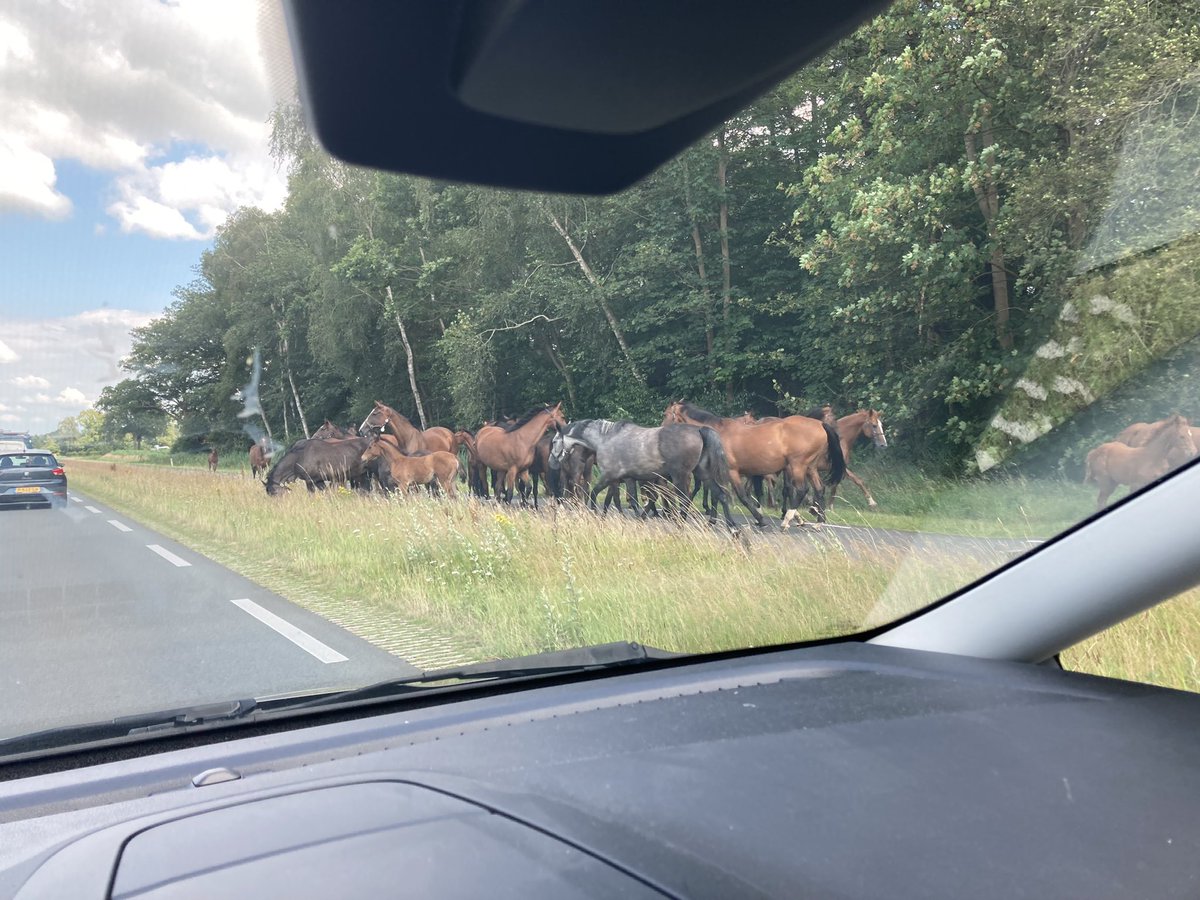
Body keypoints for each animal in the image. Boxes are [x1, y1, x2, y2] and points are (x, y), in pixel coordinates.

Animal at [551, 419, 739, 529]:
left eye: (554, 441)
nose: (552, 461)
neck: (606, 439)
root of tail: (699, 430)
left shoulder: (610, 477)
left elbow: (595, 494)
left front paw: (595, 515)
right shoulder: (625, 478)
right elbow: (629, 500)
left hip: (680, 476)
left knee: (685, 500)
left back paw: (680, 523)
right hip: (703, 473)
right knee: (720, 495)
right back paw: (731, 526)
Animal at [663, 400, 844, 526]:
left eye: (666, 414)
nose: (661, 428)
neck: (718, 432)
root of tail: (820, 425)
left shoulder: (731, 472)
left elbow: (741, 496)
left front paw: (760, 519)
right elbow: (717, 496)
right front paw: (712, 520)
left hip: (798, 466)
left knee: (801, 490)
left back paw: (787, 521)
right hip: (809, 468)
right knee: (819, 489)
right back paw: (818, 522)